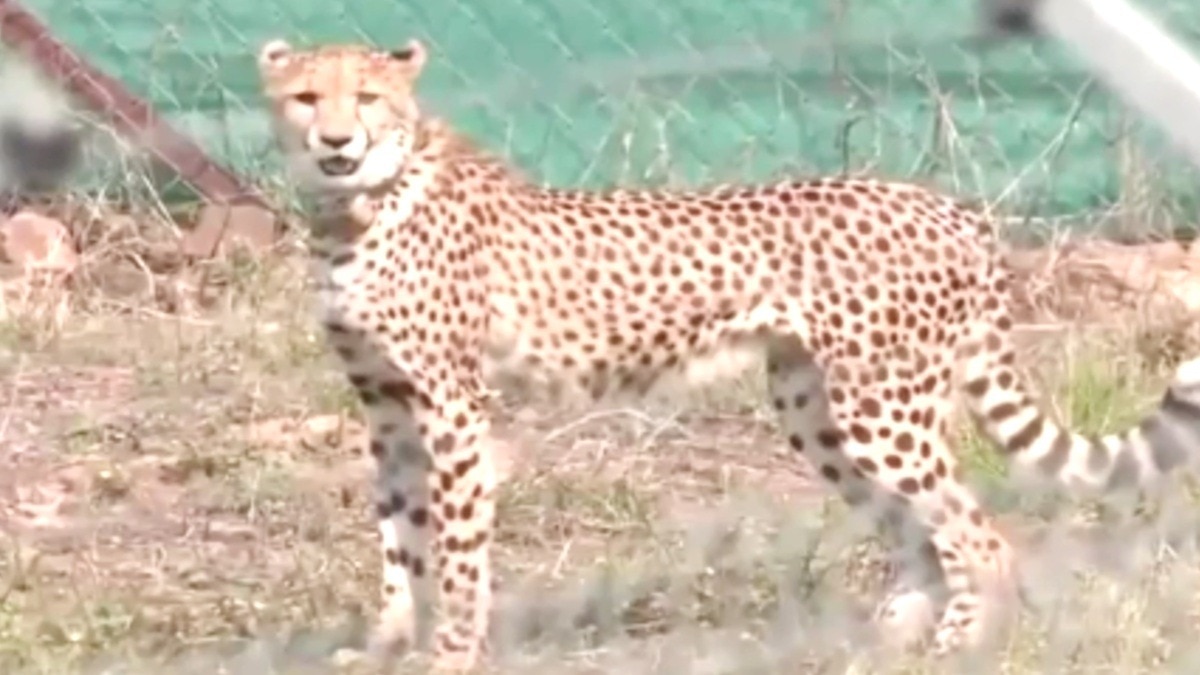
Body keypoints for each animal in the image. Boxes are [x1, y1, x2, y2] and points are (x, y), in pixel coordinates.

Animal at [255, 37, 1200, 670]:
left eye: (367, 97)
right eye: (305, 96)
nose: (336, 142)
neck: (359, 203)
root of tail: (949, 206)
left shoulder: (450, 405)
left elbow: (454, 546)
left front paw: (450, 649)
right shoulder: (385, 405)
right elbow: (398, 536)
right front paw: (386, 643)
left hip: (879, 408)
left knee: (975, 532)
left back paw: (961, 643)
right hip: (817, 407)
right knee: (915, 533)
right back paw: (882, 639)